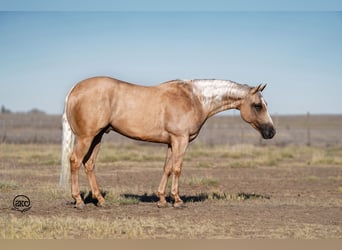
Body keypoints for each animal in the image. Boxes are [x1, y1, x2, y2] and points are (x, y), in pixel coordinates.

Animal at [60, 77, 276, 209]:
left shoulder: (172, 142)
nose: (271, 132)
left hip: (98, 137)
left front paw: (162, 199)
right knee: (75, 161)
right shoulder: (181, 140)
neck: (194, 98)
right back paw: (78, 200)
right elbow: (178, 168)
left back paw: (101, 200)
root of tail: (75, 90)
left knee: (89, 164)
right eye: (258, 105)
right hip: (87, 137)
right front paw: (177, 200)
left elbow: (167, 168)